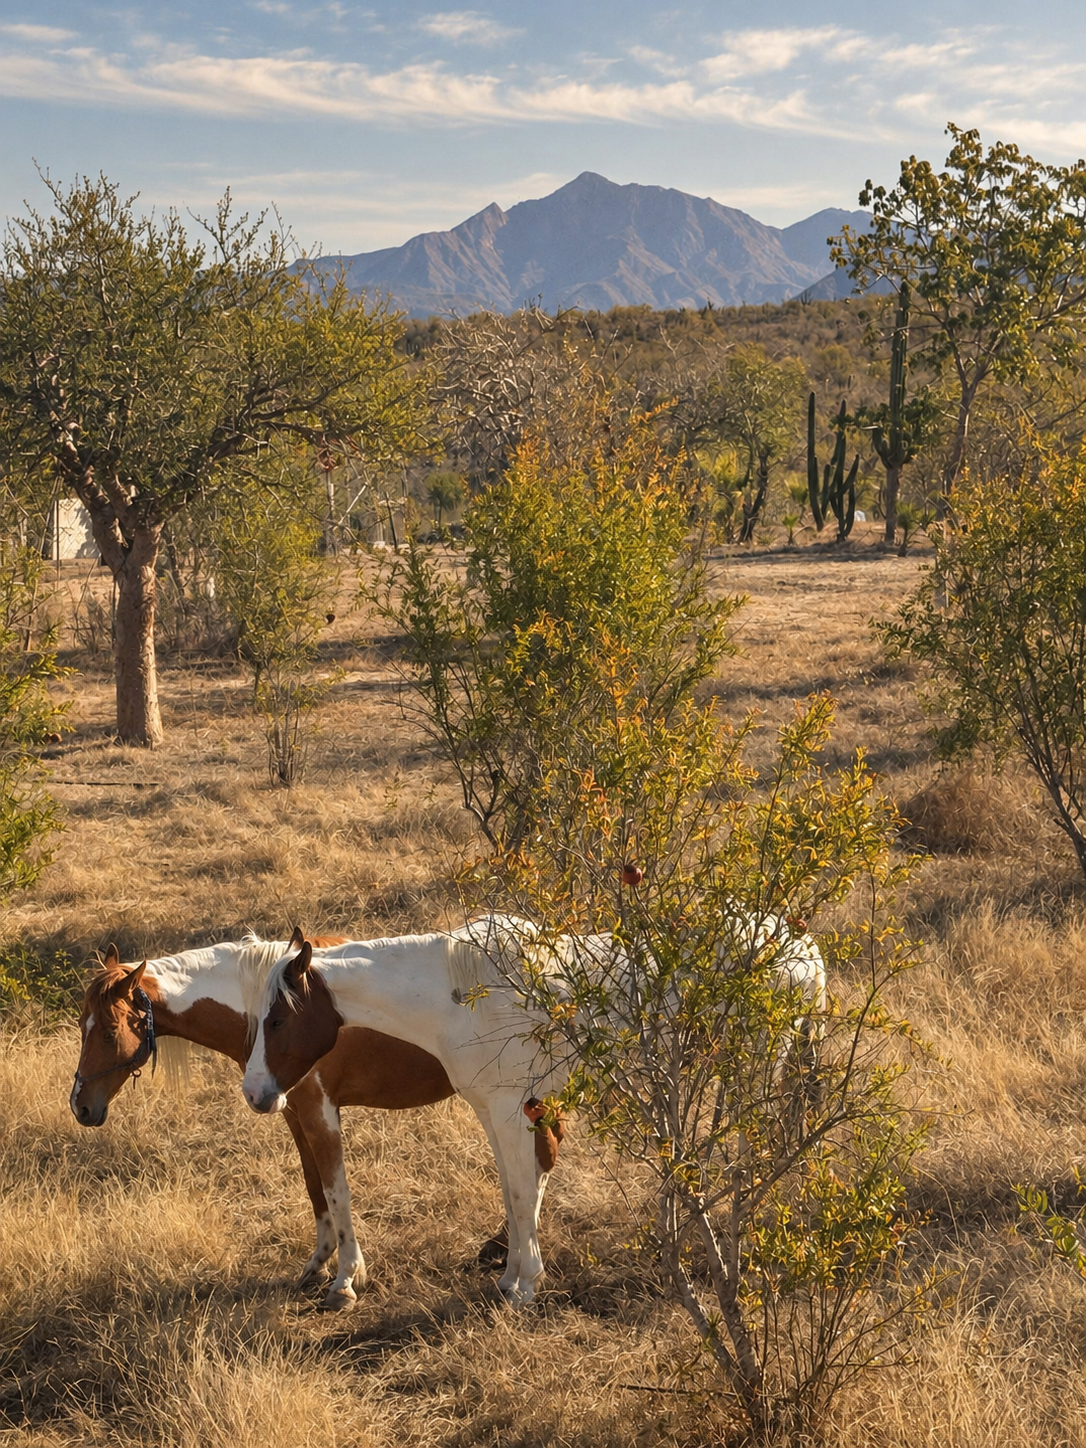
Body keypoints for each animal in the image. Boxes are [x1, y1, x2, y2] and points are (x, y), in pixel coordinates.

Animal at [70, 931, 481, 1310]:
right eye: (80, 1022)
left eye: (109, 1032)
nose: (80, 1106)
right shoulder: (295, 1115)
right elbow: (315, 1188)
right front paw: (317, 1266)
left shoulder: (320, 1114)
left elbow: (337, 1193)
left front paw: (345, 1281)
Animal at [241, 914, 824, 1307]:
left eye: (276, 1021)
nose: (254, 1092)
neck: (460, 994)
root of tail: (806, 951)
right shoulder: (493, 1110)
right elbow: (511, 1189)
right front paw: (511, 1275)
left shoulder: (509, 1107)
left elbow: (523, 1195)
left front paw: (525, 1285)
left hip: (755, 1074)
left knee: (753, 1157)